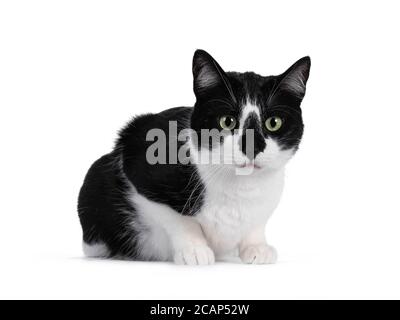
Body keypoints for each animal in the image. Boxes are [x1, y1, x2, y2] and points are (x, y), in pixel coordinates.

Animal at [77, 49, 310, 264]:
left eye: (274, 122)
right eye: (227, 121)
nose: (252, 146)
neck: (241, 187)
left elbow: (257, 222)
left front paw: (256, 247)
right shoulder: (137, 163)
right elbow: (178, 220)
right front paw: (195, 250)